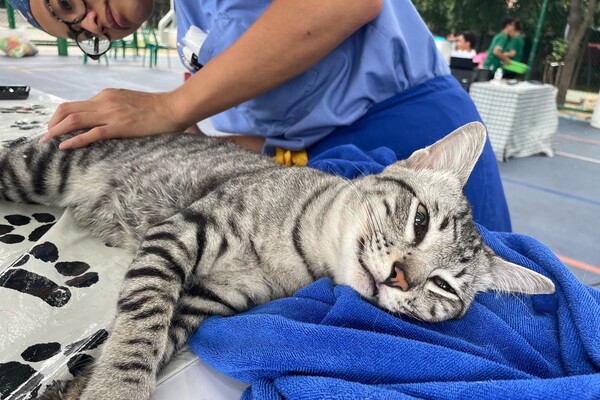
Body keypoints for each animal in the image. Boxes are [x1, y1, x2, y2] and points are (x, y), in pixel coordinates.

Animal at [0, 122, 556, 400]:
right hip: (35, 170)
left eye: (442, 286)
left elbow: (158, 337)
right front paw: (116, 388)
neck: (298, 249)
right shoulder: (179, 233)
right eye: (419, 221)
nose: (400, 276)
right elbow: (141, 327)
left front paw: (80, 386)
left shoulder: (209, 300)